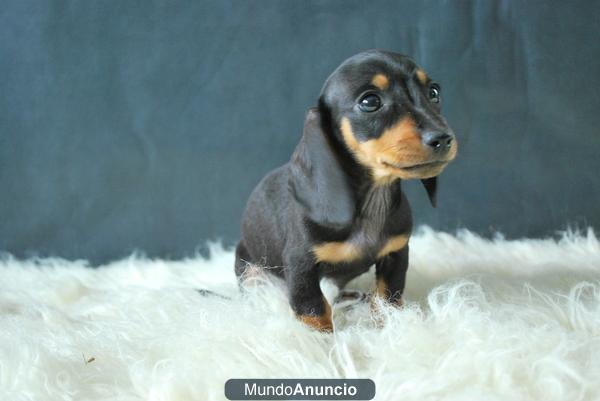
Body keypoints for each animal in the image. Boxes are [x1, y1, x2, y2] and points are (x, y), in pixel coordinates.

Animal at [237, 49, 458, 332]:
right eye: (370, 101)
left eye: (434, 92)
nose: (442, 138)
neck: (372, 201)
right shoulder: (301, 265)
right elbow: (314, 310)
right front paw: (321, 341)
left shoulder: (396, 254)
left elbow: (388, 297)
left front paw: (391, 328)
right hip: (250, 268)